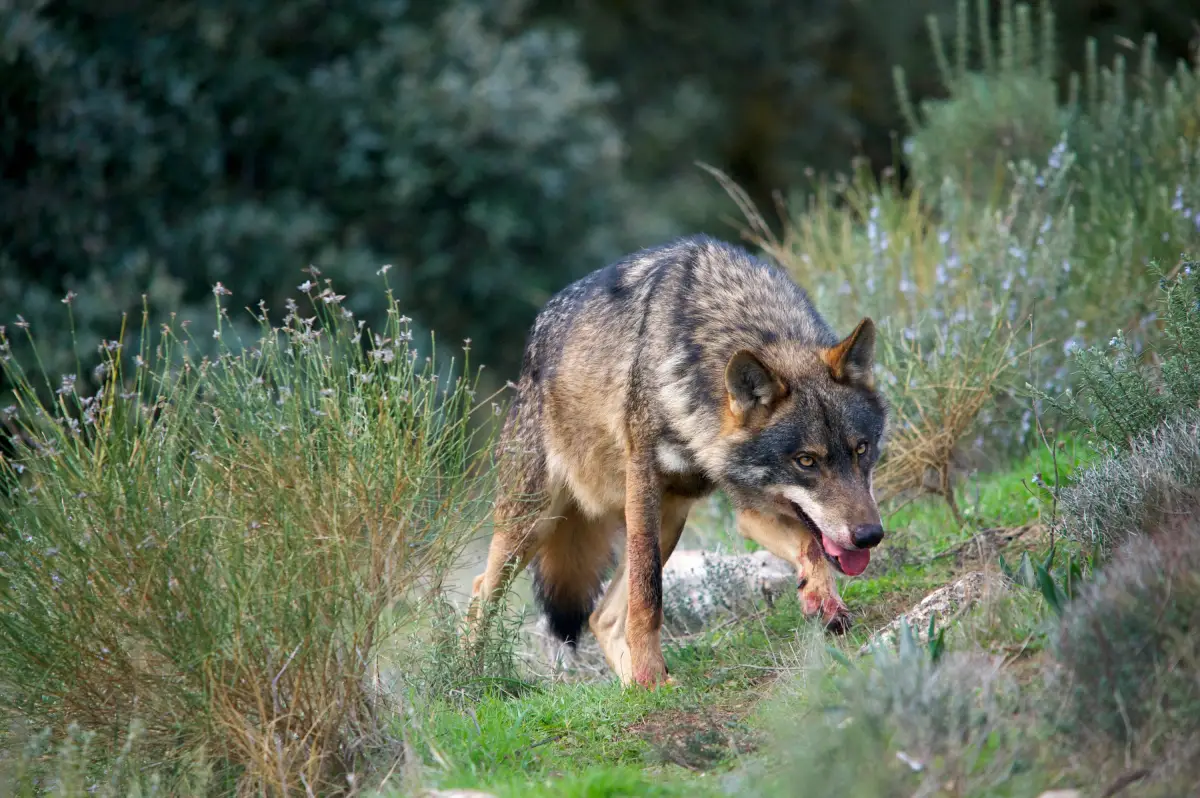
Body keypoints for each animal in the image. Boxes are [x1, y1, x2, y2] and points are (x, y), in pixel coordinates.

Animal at [468, 234, 892, 686]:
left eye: (861, 449)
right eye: (806, 461)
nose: (869, 536)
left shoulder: (749, 506)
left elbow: (810, 545)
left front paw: (823, 601)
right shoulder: (644, 484)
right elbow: (648, 596)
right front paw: (650, 672)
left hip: (669, 520)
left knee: (602, 617)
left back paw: (637, 688)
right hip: (534, 524)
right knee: (480, 593)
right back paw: (470, 678)